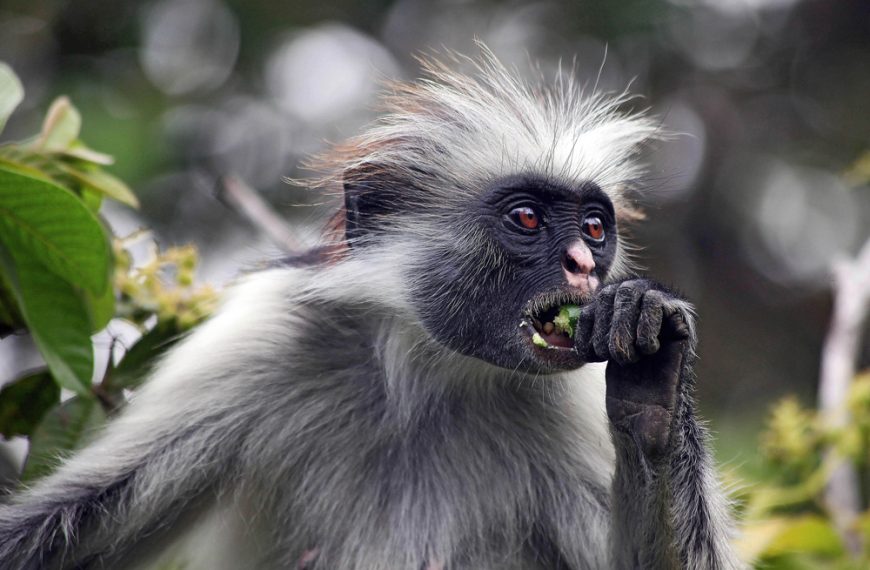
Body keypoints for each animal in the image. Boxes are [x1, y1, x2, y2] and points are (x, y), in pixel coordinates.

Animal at [0, 50, 743, 570]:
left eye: (594, 228)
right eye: (528, 219)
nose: (585, 265)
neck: (427, 371)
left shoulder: (569, 399)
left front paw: (654, 388)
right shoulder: (264, 338)